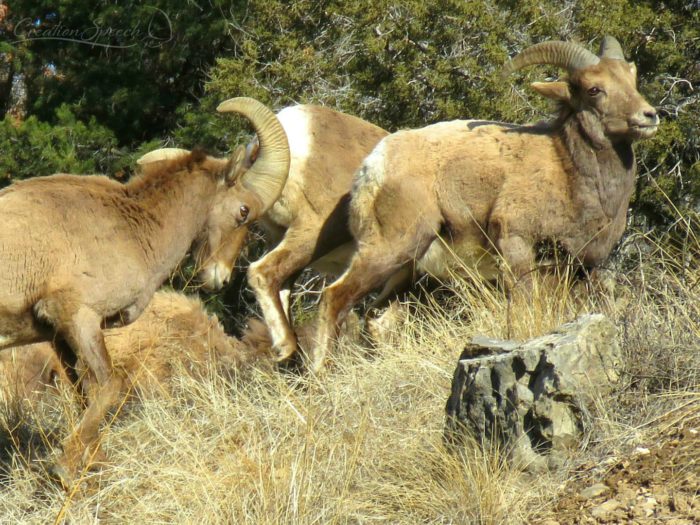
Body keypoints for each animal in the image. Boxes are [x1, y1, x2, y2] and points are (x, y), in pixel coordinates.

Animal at [0, 97, 288, 484]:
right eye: (243, 211)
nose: (220, 278)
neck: (133, 229)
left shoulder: (60, 336)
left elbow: (86, 395)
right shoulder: (78, 318)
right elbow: (109, 387)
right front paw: (64, 467)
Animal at [314, 36, 660, 370]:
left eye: (631, 77)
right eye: (594, 89)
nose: (649, 115)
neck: (566, 169)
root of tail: (373, 167)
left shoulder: (582, 267)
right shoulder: (517, 244)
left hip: (405, 274)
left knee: (377, 320)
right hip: (388, 251)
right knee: (334, 299)